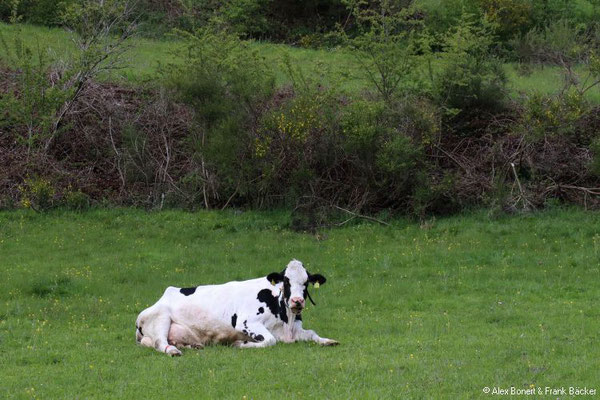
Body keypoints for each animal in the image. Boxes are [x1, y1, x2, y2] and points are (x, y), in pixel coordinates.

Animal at [136, 260, 340, 356]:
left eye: (306, 283)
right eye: (286, 281)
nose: (297, 301)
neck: (286, 319)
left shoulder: (295, 329)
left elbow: (312, 333)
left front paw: (328, 341)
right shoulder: (246, 322)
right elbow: (270, 340)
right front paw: (240, 344)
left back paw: (193, 345)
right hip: (160, 318)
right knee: (160, 342)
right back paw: (173, 351)